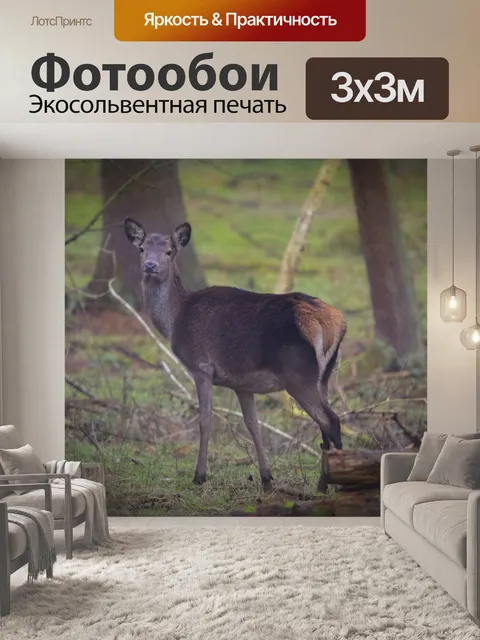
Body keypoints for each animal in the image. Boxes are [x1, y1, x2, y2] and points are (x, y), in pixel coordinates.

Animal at [124, 218, 347, 491]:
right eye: (142, 248)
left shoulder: (201, 366)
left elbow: (205, 421)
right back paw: (324, 484)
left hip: (298, 375)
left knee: (331, 421)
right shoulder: (242, 384)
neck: (175, 320)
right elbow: (253, 425)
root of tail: (333, 322)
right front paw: (267, 478)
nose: (150, 266)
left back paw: (335, 484)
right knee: (325, 423)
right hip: (324, 376)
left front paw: (199, 476)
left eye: (169, 251)